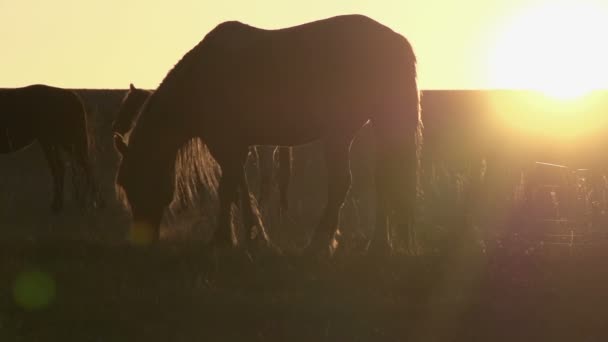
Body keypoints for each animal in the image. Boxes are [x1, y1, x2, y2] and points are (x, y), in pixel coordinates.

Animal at [114, 14, 420, 255]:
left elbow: (228, 190)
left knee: (342, 183)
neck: (202, 80)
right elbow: (241, 190)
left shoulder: (224, 144)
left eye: (135, 181)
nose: (142, 241)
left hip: (341, 133)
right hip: (378, 126)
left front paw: (222, 239)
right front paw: (254, 236)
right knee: (384, 180)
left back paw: (320, 242)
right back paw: (378, 245)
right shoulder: (238, 147)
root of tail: (395, 41)